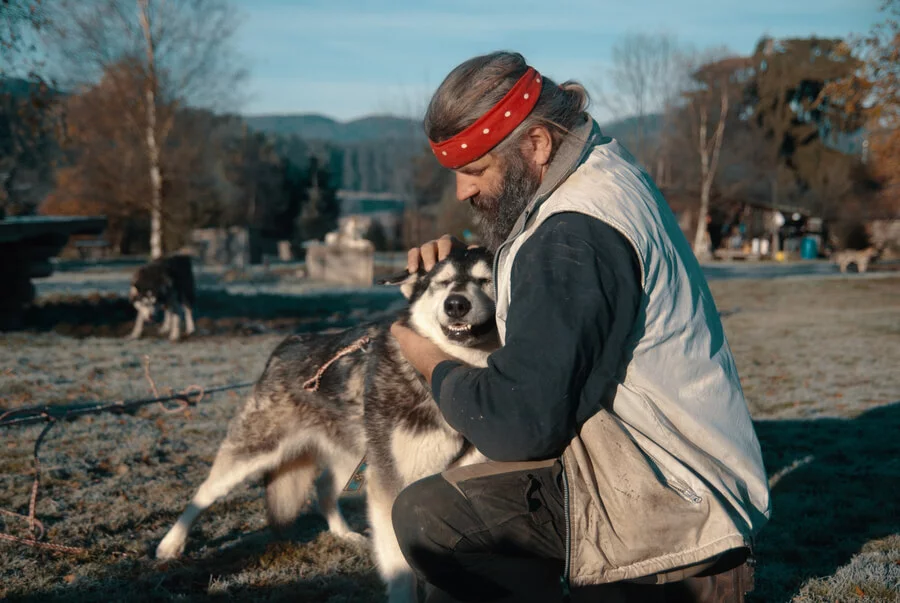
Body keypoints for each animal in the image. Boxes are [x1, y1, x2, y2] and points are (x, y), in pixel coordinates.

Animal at [158, 247, 502, 603]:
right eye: (442, 283)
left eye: (484, 279)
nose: (456, 304)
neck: (454, 372)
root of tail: (286, 345)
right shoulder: (390, 483)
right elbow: (401, 568)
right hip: (258, 449)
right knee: (204, 492)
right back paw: (171, 543)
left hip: (356, 454)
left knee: (324, 487)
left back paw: (344, 533)